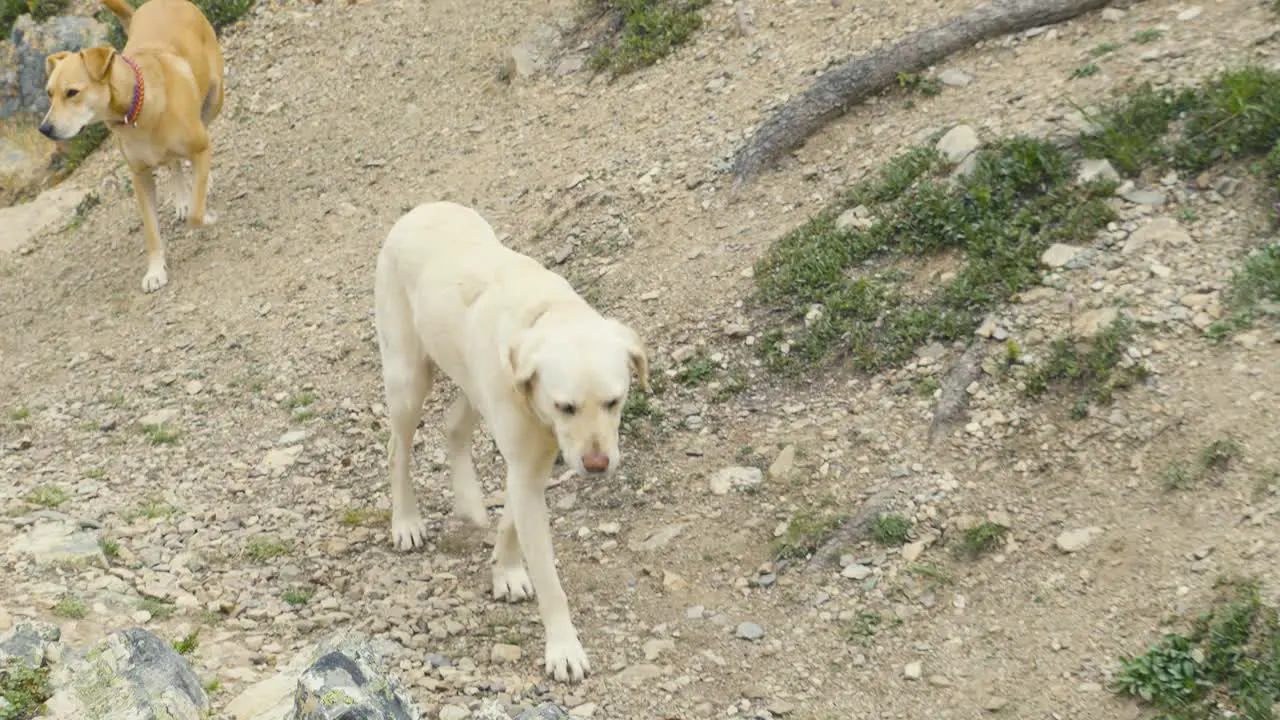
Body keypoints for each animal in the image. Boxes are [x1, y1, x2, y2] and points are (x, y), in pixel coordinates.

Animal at [40, 0, 225, 294]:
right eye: (49, 93)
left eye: (72, 92)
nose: (44, 129)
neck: (136, 108)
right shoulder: (140, 177)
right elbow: (151, 232)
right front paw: (156, 271)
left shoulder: (199, 146)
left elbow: (197, 215)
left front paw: (206, 216)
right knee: (173, 163)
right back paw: (182, 197)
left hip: (214, 99)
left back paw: (202, 184)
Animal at [371, 199, 650, 676]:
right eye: (565, 406)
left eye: (615, 401)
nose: (597, 466)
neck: (547, 312)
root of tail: (421, 207)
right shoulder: (526, 462)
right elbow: (549, 578)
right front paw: (563, 649)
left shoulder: (532, 466)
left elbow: (511, 520)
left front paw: (506, 571)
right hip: (408, 380)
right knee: (397, 450)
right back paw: (406, 522)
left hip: (468, 381)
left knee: (453, 425)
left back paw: (468, 500)